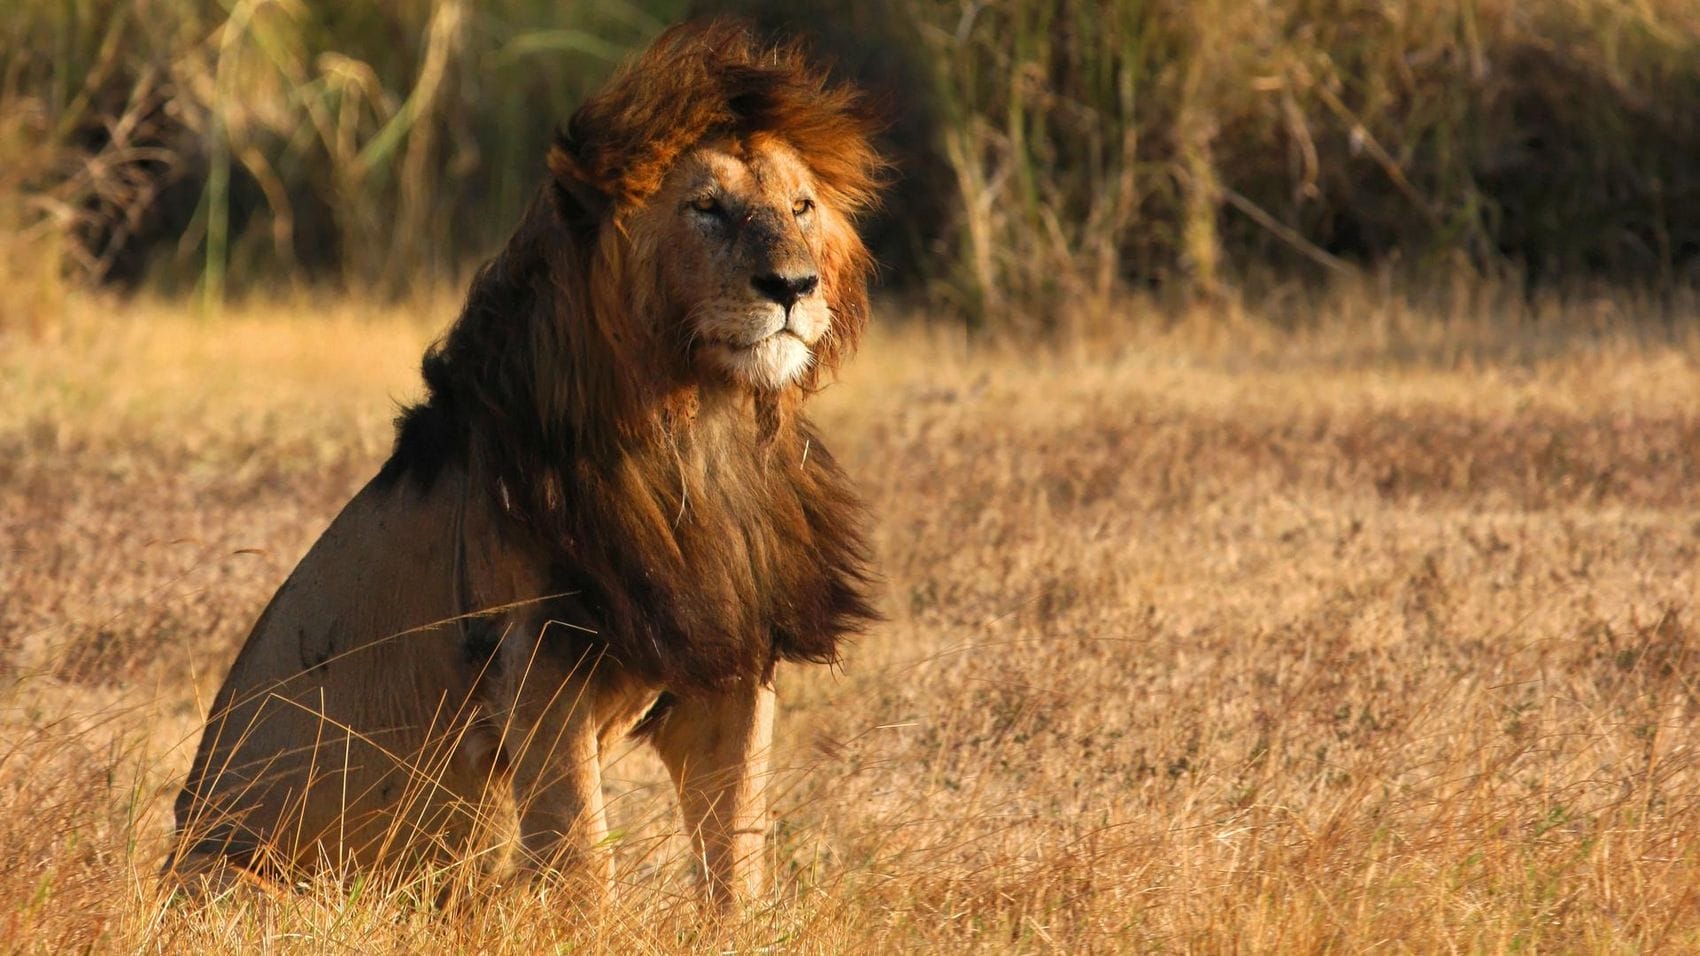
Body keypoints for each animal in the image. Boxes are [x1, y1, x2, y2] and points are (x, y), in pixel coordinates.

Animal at [165, 18, 884, 904]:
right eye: (706, 209)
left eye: (800, 207)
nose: (793, 286)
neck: (700, 427)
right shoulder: (536, 658)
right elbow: (582, 853)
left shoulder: (733, 654)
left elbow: (737, 850)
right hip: (236, 877)